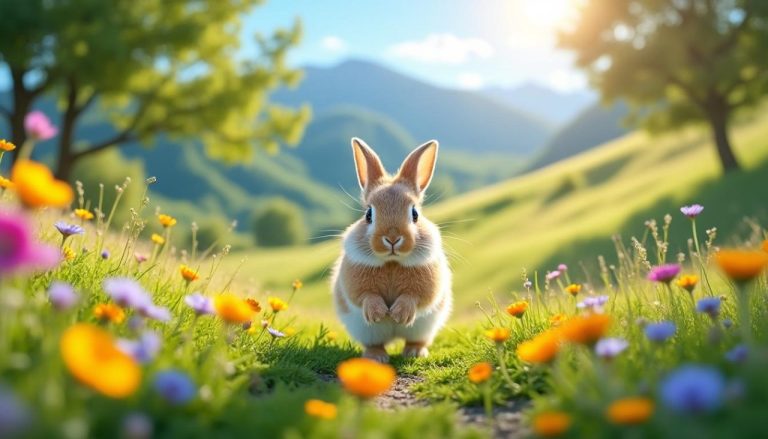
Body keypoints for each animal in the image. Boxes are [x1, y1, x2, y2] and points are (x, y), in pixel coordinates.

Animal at [331, 137, 452, 363]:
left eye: (415, 213)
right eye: (368, 214)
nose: (393, 239)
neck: (392, 261)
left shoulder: (427, 285)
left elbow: (415, 296)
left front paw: (398, 314)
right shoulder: (355, 283)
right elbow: (365, 295)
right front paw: (378, 313)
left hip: (425, 327)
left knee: (416, 340)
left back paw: (415, 353)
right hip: (366, 332)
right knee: (375, 344)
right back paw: (377, 357)